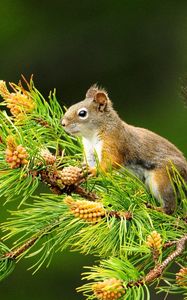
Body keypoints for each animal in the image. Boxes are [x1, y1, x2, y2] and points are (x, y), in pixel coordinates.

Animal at [61, 84, 187, 214]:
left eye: (82, 113)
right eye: (71, 107)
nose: (63, 123)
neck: (91, 136)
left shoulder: (113, 142)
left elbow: (111, 161)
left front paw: (94, 170)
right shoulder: (90, 151)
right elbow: (89, 162)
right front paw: (80, 171)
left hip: (163, 177)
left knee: (170, 205)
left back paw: (157, 209)